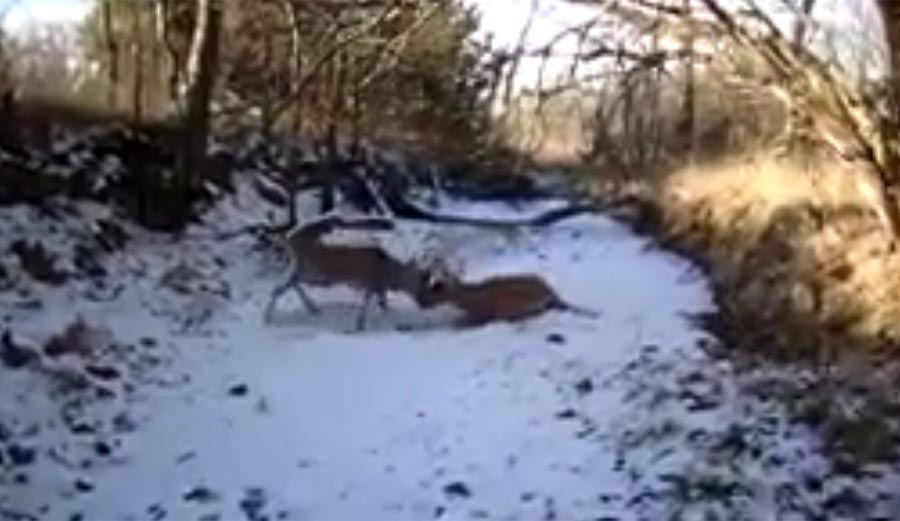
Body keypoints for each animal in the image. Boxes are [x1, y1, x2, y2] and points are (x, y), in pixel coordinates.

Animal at [264, 216, 434, 330]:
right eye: (422, 280)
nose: (423, 303)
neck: (391, 271)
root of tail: (289, 239)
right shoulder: (371, 282)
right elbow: (368, 301)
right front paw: (360, 324)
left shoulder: (378, 285)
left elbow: (382, 302)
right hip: (311, 269)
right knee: (281, 287)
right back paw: (267, 318)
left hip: (306, 269)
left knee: (290, 283)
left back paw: (312, 309)